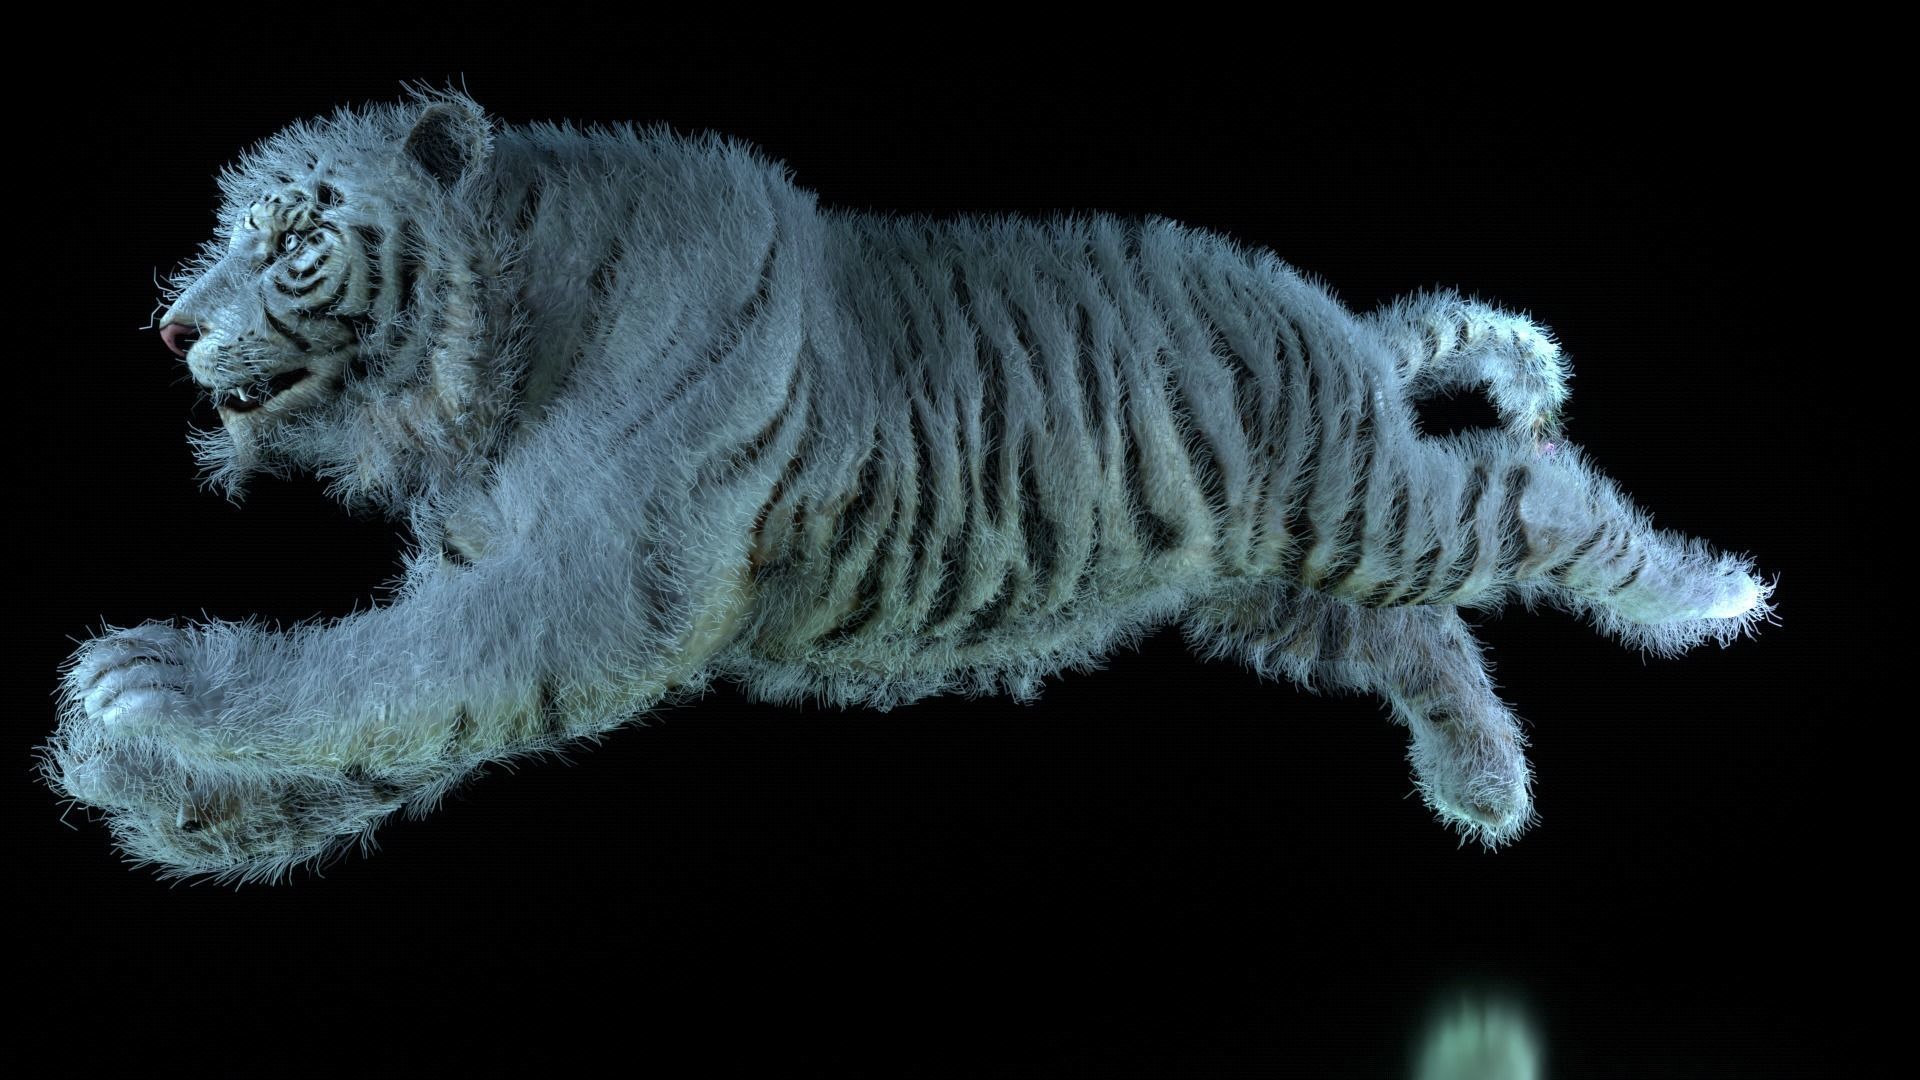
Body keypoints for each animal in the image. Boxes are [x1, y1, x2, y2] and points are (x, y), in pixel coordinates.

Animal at [40, 88, 1776, 885]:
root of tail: (1332, 314)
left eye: (292, 240)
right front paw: (157, 794)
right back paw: (1484, 787)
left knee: (1531, 492)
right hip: (1265, 583)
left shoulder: (585, 595)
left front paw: (147, 692)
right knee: (1419, 632)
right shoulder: (501, 587)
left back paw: (1719, 592)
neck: (491, 354)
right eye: (222, 234)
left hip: (1362, 502)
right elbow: (388, 717)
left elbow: (368, 670)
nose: (171, 324)